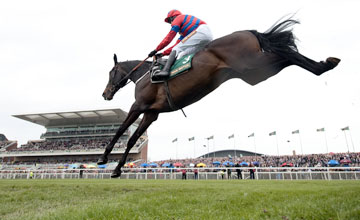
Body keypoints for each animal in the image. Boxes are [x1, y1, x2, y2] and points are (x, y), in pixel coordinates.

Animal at [99, 18, 340, 177]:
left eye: (111, 73)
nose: (105, 93)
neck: (144, 75)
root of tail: (247, 31)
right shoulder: (152, 112)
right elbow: (132, 139)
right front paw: (117, 169)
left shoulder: (138, 105)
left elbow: (121, 131)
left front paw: (104, 158)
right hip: (255, 73)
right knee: (287, 55)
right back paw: (324, 65)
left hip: (253, 66)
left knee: (287, 54)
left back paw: (324, 64)